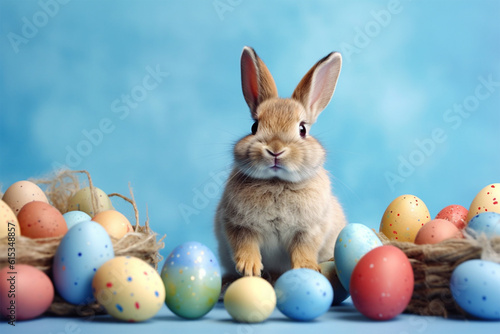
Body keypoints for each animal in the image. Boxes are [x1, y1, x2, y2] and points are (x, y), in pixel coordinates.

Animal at [215, 46, 348, 282]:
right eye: (254, 127)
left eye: (302, 129)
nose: (275, 150)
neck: (277, 182)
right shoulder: (239, 225)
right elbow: (245, 245)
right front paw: (249, 268)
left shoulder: (309, 230)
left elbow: (304, 249)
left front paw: (306, 267)